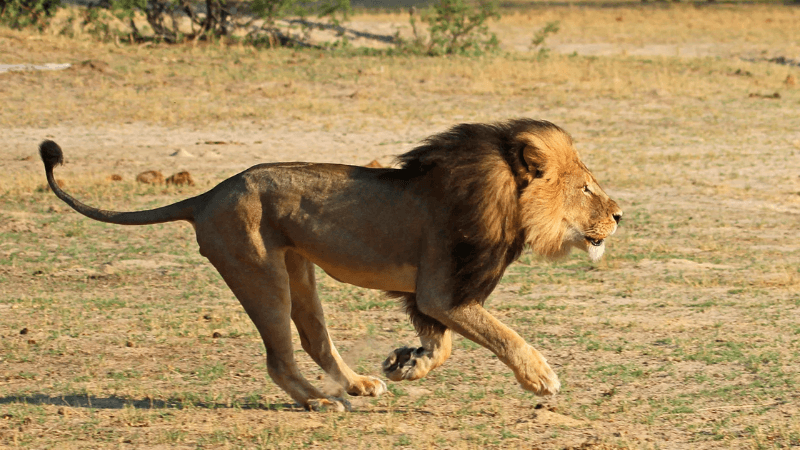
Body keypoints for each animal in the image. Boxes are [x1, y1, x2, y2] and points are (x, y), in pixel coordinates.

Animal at [39, 119, 622, 411]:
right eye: (586, 187)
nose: (619, 214)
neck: (505, 199)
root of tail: (207, 194)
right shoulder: (442, 291)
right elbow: (502, 333)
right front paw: (541, 378)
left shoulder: (434, 296)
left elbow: (446, 345)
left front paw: (405, 363)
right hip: (260, 274)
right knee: (279, 358)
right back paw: (321, 403)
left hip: (299, 271)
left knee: (316, 338)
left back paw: (359, 384)